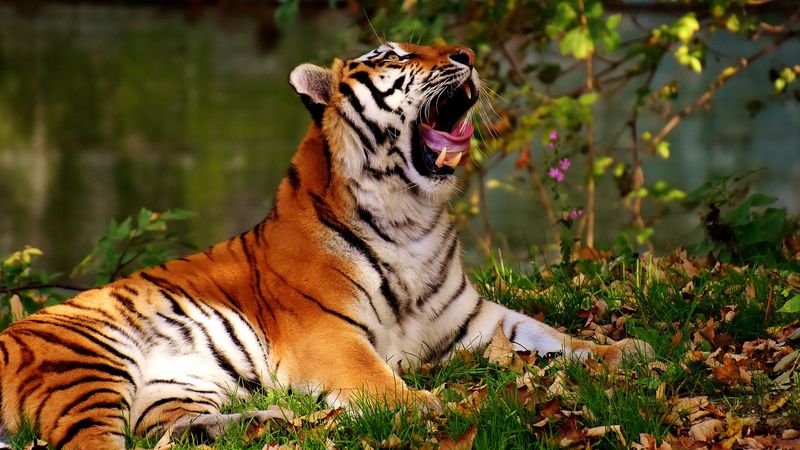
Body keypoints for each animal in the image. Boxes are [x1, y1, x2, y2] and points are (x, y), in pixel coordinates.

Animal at [0, 42, 651, 449]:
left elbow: (550, 334)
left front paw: (627, 350)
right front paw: (434, 407)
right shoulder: (329, 336)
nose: (466, 56)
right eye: (395, 56)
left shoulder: (473, 318)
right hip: (86, 367)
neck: (413, 217)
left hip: (175, 387)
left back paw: (278, 420)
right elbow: (380, 381)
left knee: (164, 433)